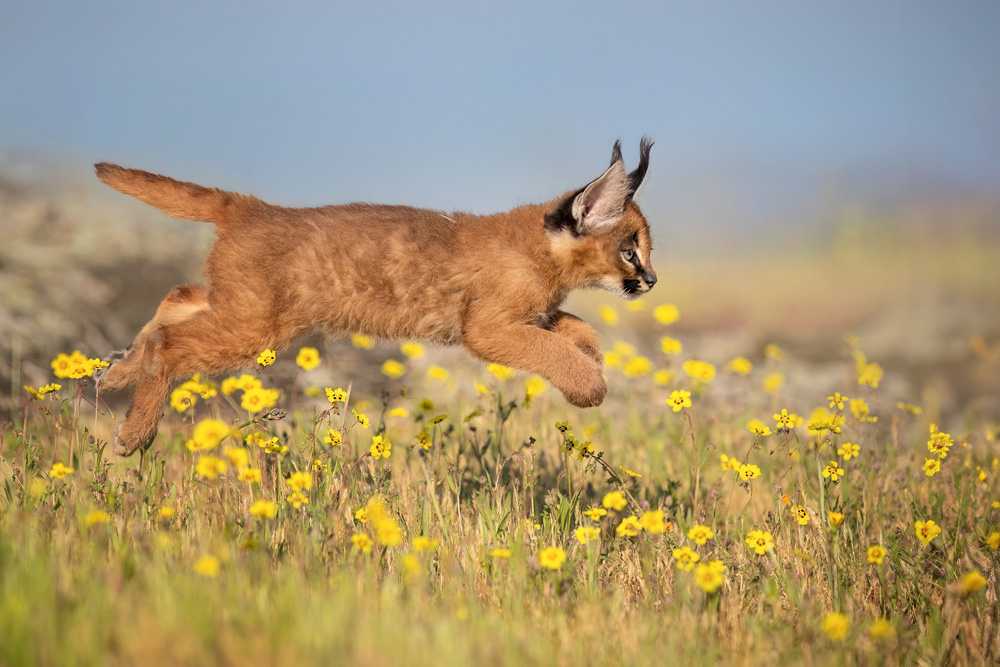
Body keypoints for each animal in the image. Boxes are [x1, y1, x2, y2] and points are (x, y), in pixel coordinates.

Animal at [94, 138, 656, 456]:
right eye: (630, 252)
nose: (651, 281)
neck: (543, 248)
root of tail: (255, 206)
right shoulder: (487, 328)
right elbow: (552, 348)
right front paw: (589, 387)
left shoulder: (530, 316)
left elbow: (575, 327)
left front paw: (594, 359)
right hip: (256, 324)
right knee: (171, 339)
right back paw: (134, 433)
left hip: (246, 309)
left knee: (178, 296)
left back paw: (115, 371)